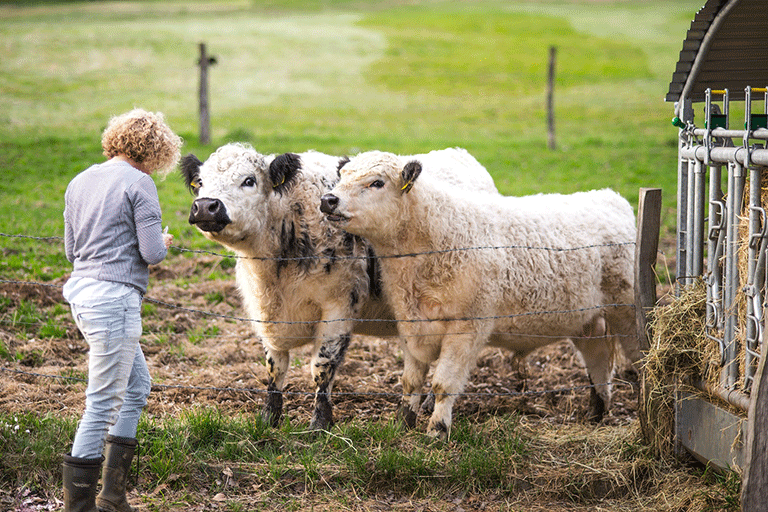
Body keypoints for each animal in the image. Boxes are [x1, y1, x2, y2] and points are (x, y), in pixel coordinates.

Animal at [318, 150, 636, 438]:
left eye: (377, 183)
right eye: (341, 177)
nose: (328, 200)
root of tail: (610, 197)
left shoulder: (467, 328)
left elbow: (443, 385)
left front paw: (437, 431)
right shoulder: (410, 324)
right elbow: (411, 381)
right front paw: (402, 425)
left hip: (628, 312)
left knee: (633, 359)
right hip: (586, 321)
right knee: (597, 360)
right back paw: (595, 413)